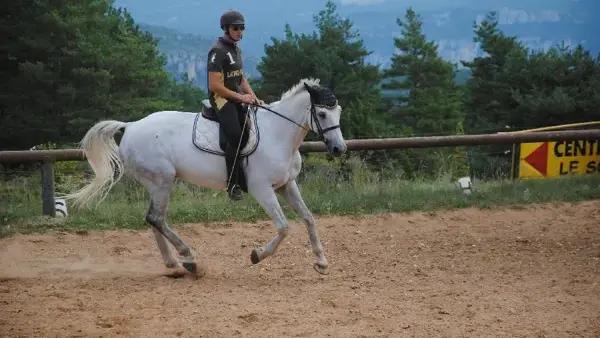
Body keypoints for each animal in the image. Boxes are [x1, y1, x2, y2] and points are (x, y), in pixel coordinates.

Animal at [62, 78, 346, 278]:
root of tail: (130, 126)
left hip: (157, 184)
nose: (338, 149)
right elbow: (284, 227)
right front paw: (257, 255)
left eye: (339, 111)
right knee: (156, 219)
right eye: (322, 114)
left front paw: (321, 262)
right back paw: (189, 259)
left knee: (154, 220)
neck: (278, 134)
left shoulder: (286, 185)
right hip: (162, 181)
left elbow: (308, 219)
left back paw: (174, 265)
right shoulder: (262, 189)